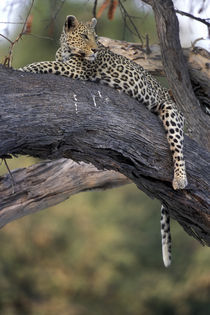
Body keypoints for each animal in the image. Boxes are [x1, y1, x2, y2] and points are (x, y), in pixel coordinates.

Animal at [18, 14, 188, 266]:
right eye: (84, 36)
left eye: (95, 36)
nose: (96, 49)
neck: (66, 50)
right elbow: (47, 62)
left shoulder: (74, 70)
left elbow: (43, 64)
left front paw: (21, 68)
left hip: (170, 112)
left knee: (178, 147)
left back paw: (180, 178)